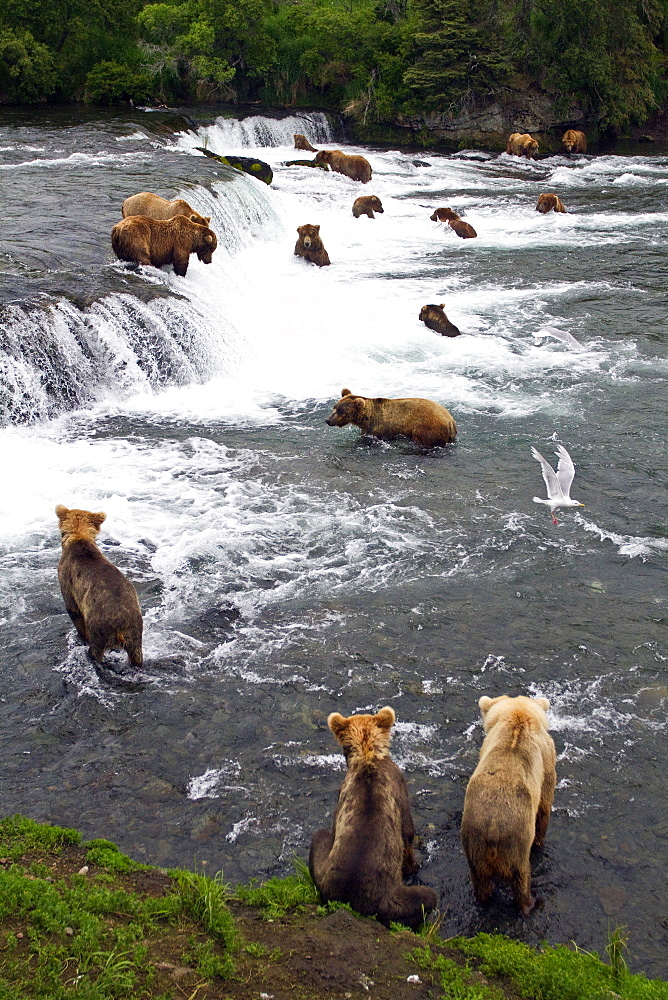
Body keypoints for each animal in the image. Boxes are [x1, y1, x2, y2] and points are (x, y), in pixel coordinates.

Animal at [308, 708, 438, 932]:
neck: (367, 754)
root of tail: (351, 902)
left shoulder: (341, 796)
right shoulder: (397, 784)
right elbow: (407, 832)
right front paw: (413, 865)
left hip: (324, 874)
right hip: (390, 899)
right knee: (426, 897)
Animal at [326, 386, 456, 446]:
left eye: (341, 411)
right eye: (334, 407)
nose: (328, 420)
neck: (367, 418)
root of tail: (450, 421)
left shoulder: (380, 430)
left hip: (425, 428)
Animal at [460, 696, 560, 916]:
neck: (517, 717)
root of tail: (492, 829)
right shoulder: (546, 757)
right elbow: (544, 804)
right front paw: (541, 839)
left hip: (473, 845)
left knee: (480, 881)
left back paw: (483, 898)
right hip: (516, 843)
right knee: (521, 877)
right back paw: (532, 901)